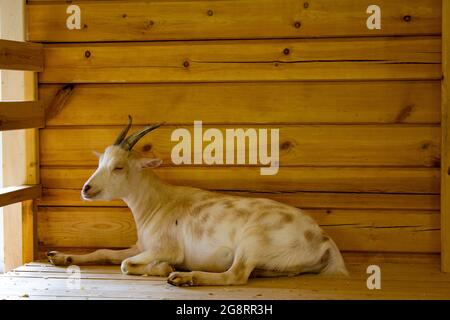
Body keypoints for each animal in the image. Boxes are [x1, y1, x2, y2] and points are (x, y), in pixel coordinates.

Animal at [46, 116, 348, 286]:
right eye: (101, 162)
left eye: (118, 167)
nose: (87, 189)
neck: (158, 203)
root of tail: (324, 241)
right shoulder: (141, 246)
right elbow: (105, 252)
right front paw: (59, 256)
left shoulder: (165, 248)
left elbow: (126, 264)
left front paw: (166, 268)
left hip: (252, 239)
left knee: (236, 275)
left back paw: (185, 278)